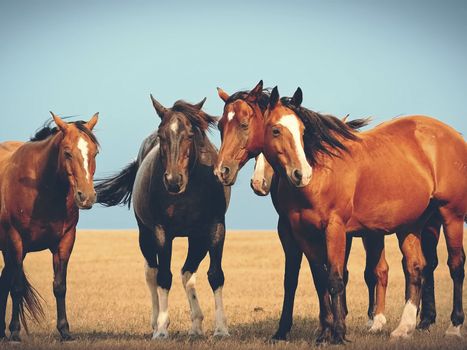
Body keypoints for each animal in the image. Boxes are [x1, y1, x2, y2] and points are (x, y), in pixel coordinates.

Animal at [0, 113, 99, 342]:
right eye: (67, 153)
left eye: (95, 152)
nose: (86, 196)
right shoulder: (16, 241)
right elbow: (17, 288)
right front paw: (15, 331)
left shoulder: (64, 242)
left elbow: (60, 286)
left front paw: (64, 330)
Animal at [96, 95, 231, 340]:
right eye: (161, 135)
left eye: (190, 135)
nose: (173, 181)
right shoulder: (161, 232)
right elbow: (163, 277)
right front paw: (161, 329)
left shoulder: (215, 228)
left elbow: (215, 275)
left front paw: (221, 329)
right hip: (145, 235)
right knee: (152, 273)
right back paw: (156, 321)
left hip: (196, 240)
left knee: (187, 273)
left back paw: (196, 325)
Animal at [214, 80, 390, 342]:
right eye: (219, 126)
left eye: (244, 124)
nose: (222, 171)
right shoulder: (291, 232)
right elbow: (298, 278)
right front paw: (287, 330)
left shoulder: (336, 231)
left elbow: (336, 274)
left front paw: (337, 327)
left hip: (373, 234)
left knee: (378, 271)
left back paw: (377, 320)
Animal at [266, 86, 466, 344]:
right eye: (276, 130)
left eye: (302, 131)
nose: (301, 174)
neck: (321, 170)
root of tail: (455, 136)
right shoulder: (302, 234)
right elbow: (318, 278)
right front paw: (324, 332)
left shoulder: (336, 229)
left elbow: (336, 278)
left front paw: (339, 333)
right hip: (411, 225)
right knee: (416, 267)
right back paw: (405, 327)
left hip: (451, 216)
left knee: (456, 265)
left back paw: (454, 326)